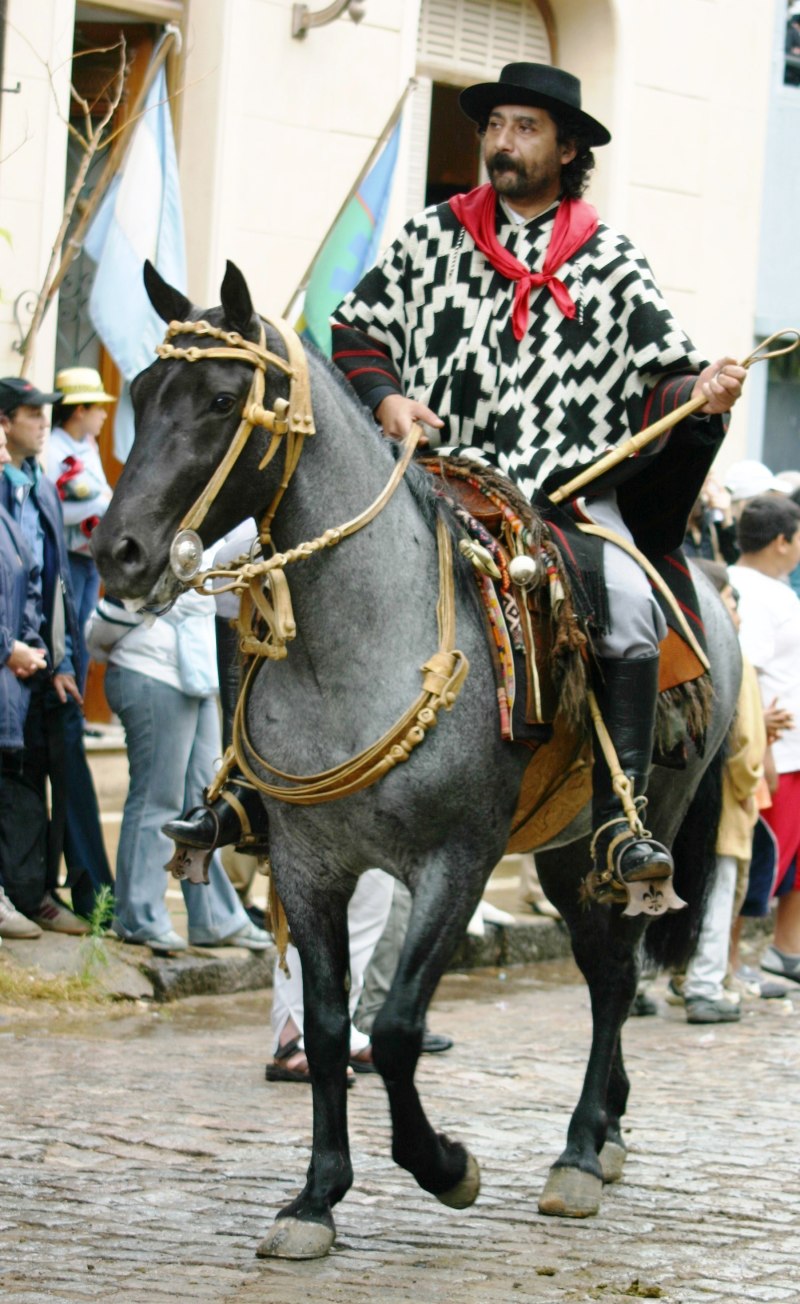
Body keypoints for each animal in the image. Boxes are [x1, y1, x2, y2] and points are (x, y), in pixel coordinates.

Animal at [95, 262, 741, 1262]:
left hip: (628, 836)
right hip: (561, 855)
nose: (117, 553)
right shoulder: (310, 867)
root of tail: (700, 580)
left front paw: (445, 1166)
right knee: (605, 971)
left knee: (613, 977)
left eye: (220, 399)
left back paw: (581, 1152)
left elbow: (396, 1028)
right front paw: (316, 1198)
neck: (357, 649)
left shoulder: (457, 862)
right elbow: (329, 1029)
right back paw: (610, 1128)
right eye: (140, 392)